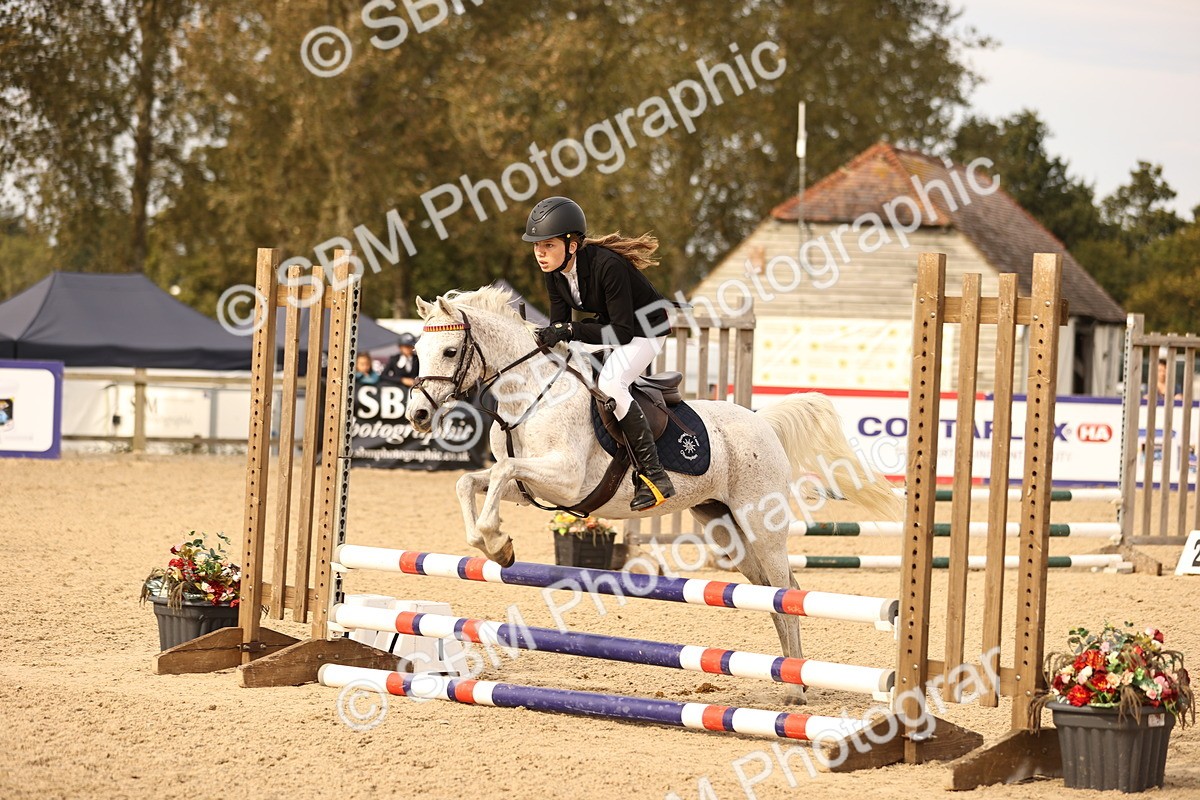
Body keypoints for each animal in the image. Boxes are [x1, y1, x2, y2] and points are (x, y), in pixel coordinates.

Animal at [406, 286, 902, 703]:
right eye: (417, 352)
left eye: (450, 350)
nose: (417, 415)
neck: (529, 395)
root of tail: (763, 421)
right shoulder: (530, 490)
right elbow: (472, 481)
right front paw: (494, 546)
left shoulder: (564, 479)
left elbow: (502, 470)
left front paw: (496, 541)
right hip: (727, 531)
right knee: (774, 595)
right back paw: (789, 677)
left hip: (761, 526)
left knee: (787, 592)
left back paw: (797, 688)